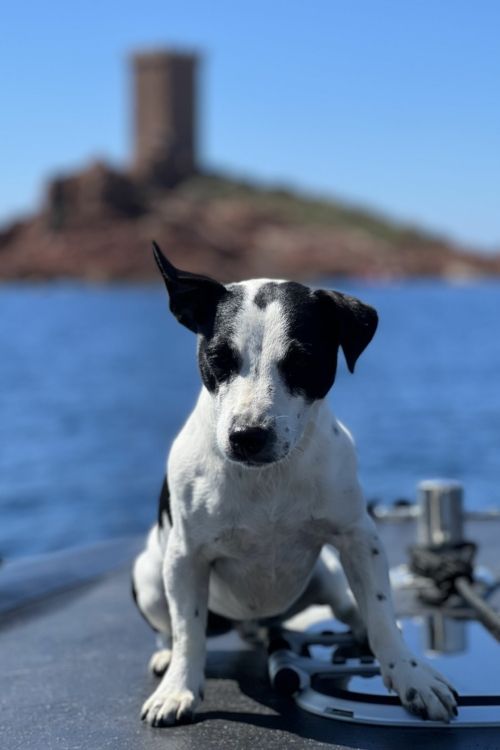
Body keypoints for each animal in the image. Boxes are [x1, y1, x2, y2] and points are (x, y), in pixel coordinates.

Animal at [132, 245, 458, 728]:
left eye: (301, 360)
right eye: (220, 358)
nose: (247, 435)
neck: (266, 479)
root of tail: (255, 622)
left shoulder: (359, 539)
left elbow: (381, 610)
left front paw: (411, 675)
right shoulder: (186, 556)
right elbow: (189, 629)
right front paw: (179, 689)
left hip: (328, 578)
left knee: (355, 609)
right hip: (151, 576)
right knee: (169, 627)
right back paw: (165, 656)